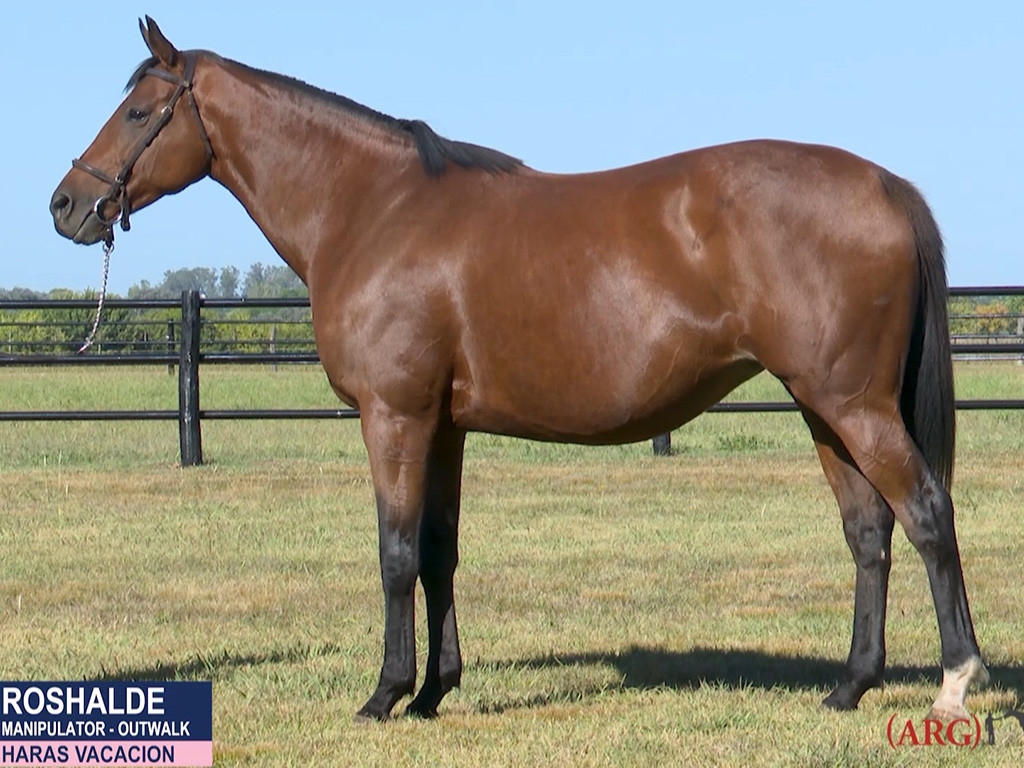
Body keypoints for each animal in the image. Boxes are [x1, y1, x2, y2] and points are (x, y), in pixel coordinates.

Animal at [51, 17, 988, 721]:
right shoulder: (442, 426)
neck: (372, 209)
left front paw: (384, 695)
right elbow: (438, 549)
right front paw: (434, 693)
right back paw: (849, 687)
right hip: (823, 407)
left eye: (139, 111)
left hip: (853, 405)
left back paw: (954, 682)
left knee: (926, 514)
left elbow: (394, 551)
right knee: (868, 533)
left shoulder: (393, 415)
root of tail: (886, 184)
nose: (66, 204)